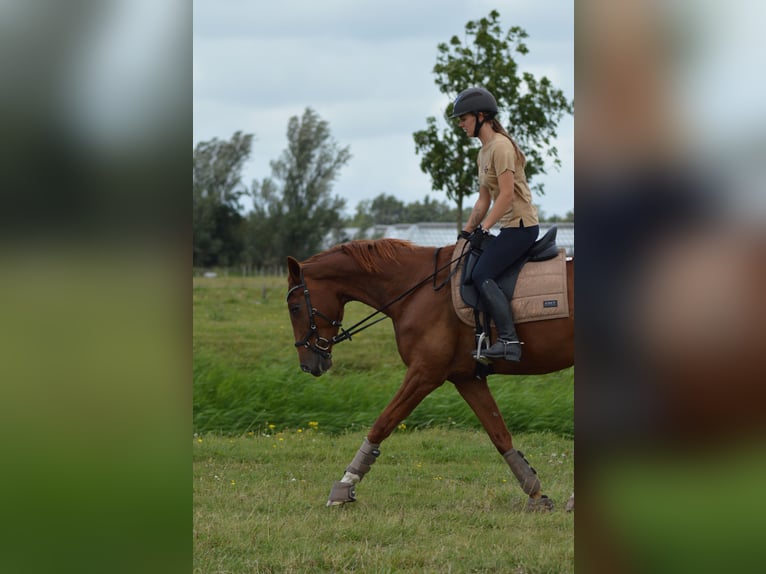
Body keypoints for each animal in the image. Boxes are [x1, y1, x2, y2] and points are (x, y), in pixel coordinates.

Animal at [284, 238, 572, 512]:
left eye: (294, 307)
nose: (308, 365)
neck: (416, 290)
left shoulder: (424, 373)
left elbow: (382, 423)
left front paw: (343, 488)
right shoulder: (468, 379)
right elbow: (499, 435)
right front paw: (536, 493)